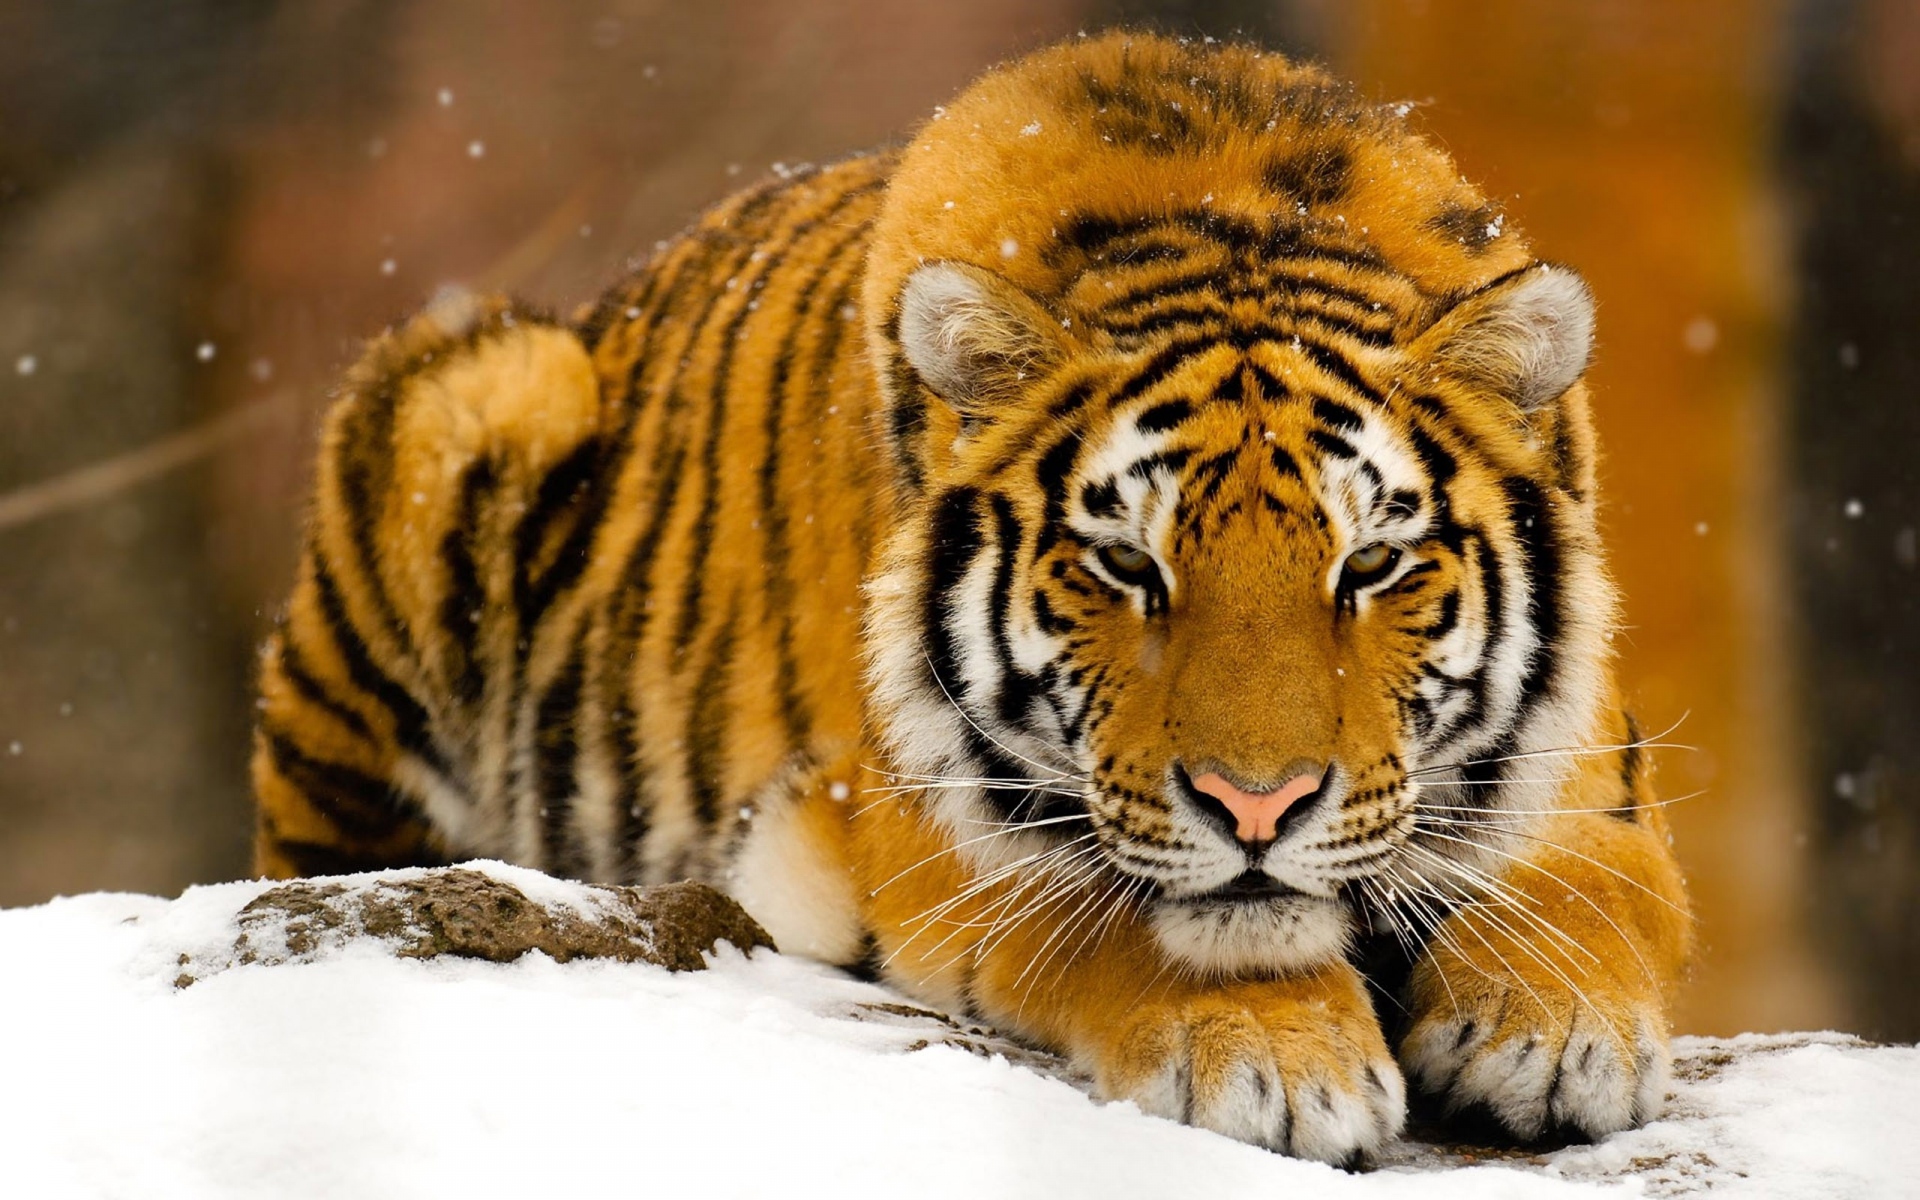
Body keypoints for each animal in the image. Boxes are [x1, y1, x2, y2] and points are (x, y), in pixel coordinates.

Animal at [251, 32, 1693, 1163]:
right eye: (1127, 565)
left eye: (1371, 565)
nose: (1258, 808)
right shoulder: (922, 818)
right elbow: (1122, 911)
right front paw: (1277, 1059)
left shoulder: (1590, 771)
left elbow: (1592, 888)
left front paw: (1555, 1034)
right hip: (475, 397)